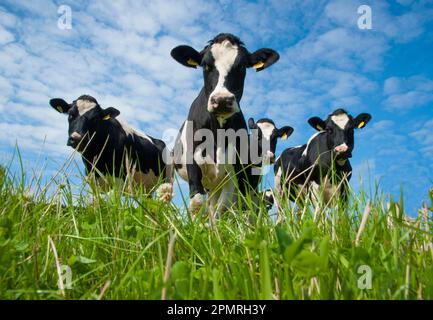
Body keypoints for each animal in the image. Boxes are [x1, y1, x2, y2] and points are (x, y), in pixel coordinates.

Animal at [170, 33, 282, 218]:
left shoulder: (233, 174)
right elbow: (197, 203)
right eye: (205, 65)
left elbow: (222, 209)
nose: (222, 100)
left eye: (242, 66)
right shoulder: (193, 164)